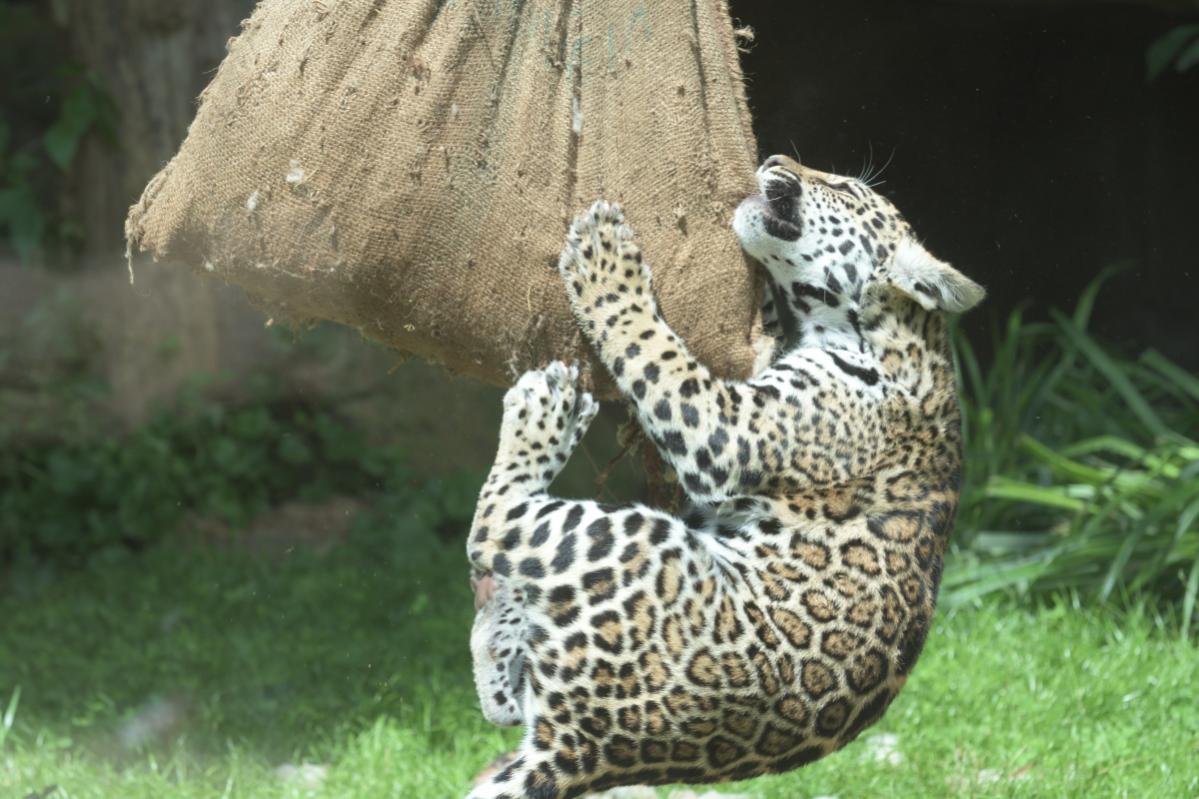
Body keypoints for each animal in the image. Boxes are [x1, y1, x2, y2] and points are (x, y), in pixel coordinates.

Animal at [463, 153, 985, 799]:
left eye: (844, 188)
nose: (775, 161)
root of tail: (585, 752)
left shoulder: (730, 429)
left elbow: (653, 348)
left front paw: (604, 261)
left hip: (639, 544)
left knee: (496, 525)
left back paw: (544, 411)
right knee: (505, 698)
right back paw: (496, 614)